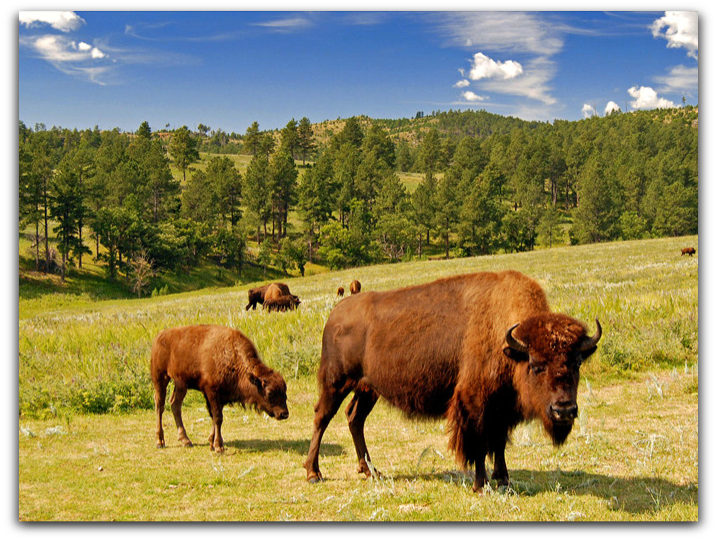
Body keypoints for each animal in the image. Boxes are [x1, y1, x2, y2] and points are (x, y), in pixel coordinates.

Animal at [151, 322, 288, 454]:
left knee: (175, 404)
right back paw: (160, 442)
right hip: (160, 378)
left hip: (181, 384)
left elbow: (214, 417)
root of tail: (159, 336)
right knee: (160, 405)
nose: (284, 414)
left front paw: (212, 443)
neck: (232, 355)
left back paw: (185, 440)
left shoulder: (220, 396)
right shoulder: (212, 392)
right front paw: (219, 447)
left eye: (284, 392)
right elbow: (217, 417)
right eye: (269, 393)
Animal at [302, 272, 600, 492]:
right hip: (336, 383)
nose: (563, 410)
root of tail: (335, 314)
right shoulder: (474, 402)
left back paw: (371, 471)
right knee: (321, 417)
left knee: (354, 418)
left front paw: (504, 480)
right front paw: (481, 485)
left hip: (368, 389)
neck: (509, 344)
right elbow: (478, 443)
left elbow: (499, 443)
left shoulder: (501, 407)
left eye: (577, 363)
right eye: (536, 365)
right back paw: (313, 473)